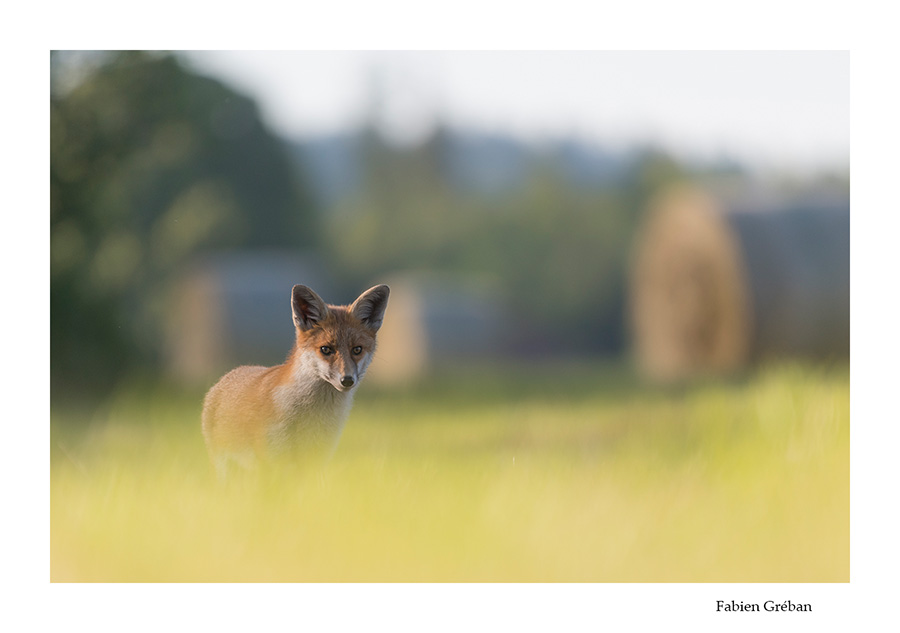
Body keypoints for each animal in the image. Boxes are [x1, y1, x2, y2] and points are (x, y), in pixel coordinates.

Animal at [202, 282, 388, 474]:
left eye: (357, 350)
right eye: (326, 349)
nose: (347, 380)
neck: (313, 416)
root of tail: (230, 373)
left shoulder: (315, 461)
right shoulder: (271, 462)